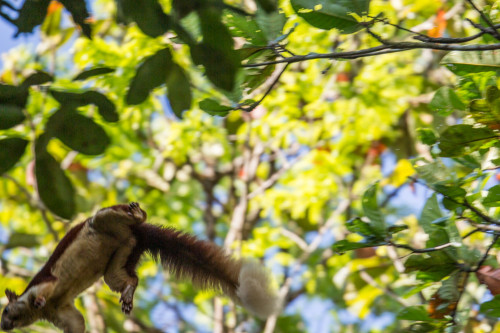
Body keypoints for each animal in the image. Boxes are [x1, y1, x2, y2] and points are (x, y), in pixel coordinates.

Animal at [0, 201, 280, 330]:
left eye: (5, 311)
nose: (3, 326)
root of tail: (139, 234)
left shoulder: (46, 285)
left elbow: (47, 286)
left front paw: (38, 300)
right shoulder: (61, 311)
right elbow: (77, 323)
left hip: (105, 221)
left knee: (113, 215)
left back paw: (136, 213)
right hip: (123, 256)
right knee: (127, 278)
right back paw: (128, 294)